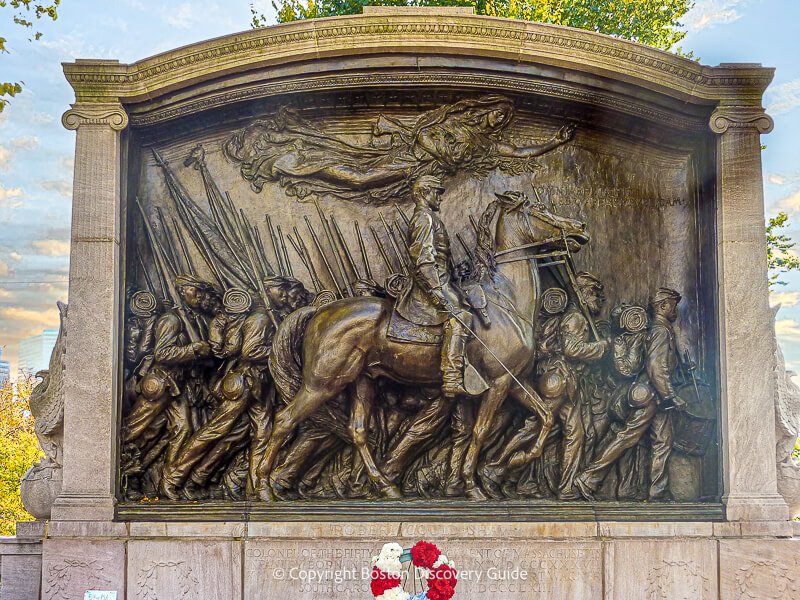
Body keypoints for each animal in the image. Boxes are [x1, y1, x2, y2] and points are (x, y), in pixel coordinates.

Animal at [256, 195, 588, 500]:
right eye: (540, 209)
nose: (581, 227)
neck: (505, 299)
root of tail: (320, 311)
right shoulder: (498, 382)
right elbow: (480, 432)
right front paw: (473, 485)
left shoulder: (514, 380)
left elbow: (544, 415)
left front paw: (517, 460)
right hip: (322, 382)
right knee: (285, 421)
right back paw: (264, 487)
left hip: (363, 380)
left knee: (358, 430)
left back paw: (385, 486)